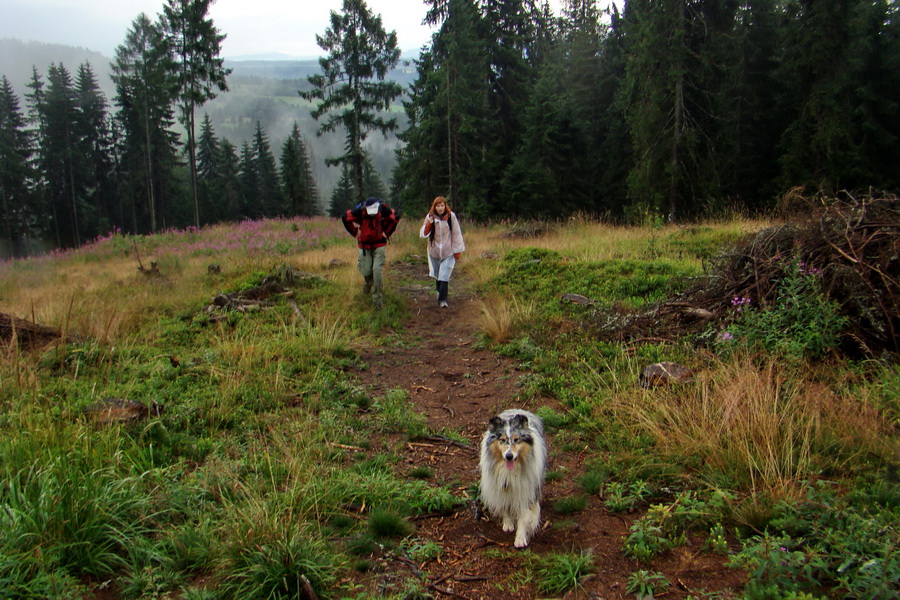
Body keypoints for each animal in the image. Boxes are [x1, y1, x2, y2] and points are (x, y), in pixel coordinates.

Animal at [478, 410, 548, 548]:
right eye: (502, 440)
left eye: (516, 439)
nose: (509, 456)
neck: (511, 471)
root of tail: (519, 410)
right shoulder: (500, 486)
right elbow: (504, 506)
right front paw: (508, 524)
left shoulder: (525, 491)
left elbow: (523, 517)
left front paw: (520, 539)